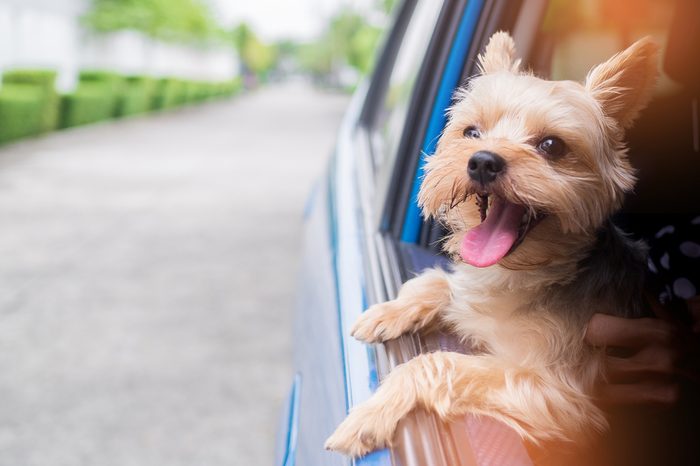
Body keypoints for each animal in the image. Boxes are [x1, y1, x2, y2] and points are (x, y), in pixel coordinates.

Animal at [326, 32, 660, 458]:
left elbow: (435, 363)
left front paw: (373, 412)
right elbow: (437, 282)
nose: (483, 161)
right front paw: (388, 310)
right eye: (471, 133)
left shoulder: (555, 392)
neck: (523, 275)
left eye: (551, 145)